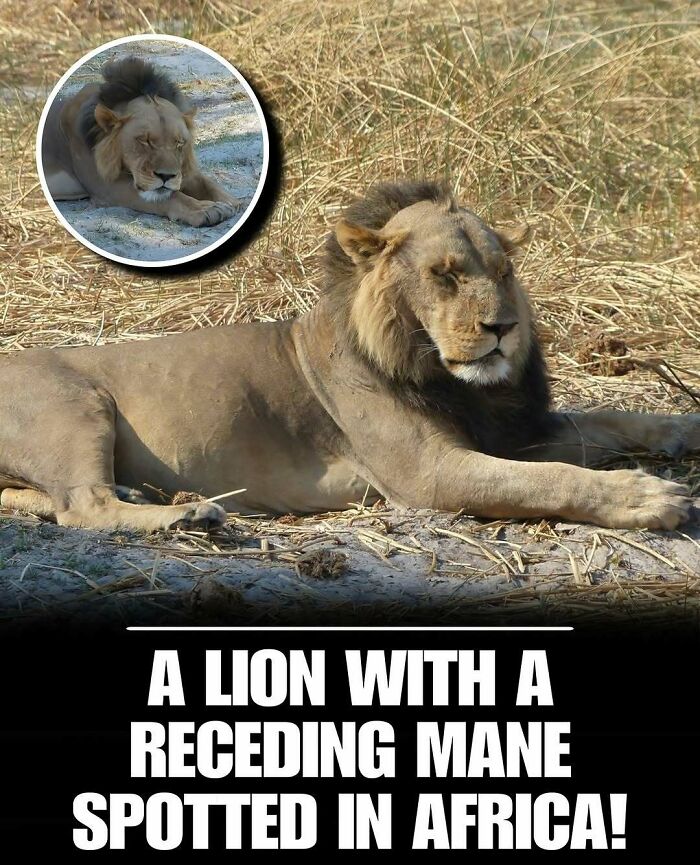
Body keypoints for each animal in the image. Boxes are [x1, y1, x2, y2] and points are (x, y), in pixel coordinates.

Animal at [0, 181, 698, 531]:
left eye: (503, 272)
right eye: (445, 275)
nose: (501, 327)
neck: (449, 376)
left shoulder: (512, 429)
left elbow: (614, 420)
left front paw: (683, 426)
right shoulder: (428, 475)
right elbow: (549, 478)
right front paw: (649, 498)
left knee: (56, 501)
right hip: (78, 406)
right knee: (82, 509)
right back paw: (190, 515)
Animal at [40, 56, 241, 227]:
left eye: (179, 143)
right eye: (144, 141)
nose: (166, 176)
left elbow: (206, 183)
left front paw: (230, 201)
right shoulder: (107, 186)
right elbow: (171, 196)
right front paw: (206, 208)